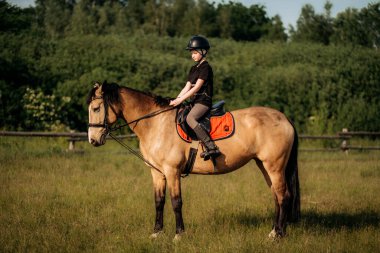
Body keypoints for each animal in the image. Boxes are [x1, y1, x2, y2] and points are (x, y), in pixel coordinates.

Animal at [87, 81, 302, 241]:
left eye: (96, 108)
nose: (93, 140)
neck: (157, 124)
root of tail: (284, 118)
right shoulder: (157, 173)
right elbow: (158, 201)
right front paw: (156, 233)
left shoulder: (172, 171)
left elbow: (176, 202)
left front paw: (179, 235)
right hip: (264, 165)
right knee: (276, 196)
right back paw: (274, 232)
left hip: (274, 166)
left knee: (283, 196)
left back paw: (279, 235)